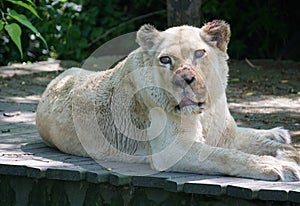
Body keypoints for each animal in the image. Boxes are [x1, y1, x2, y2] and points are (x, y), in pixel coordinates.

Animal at [36, 19, 300, 180]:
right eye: (165, 60)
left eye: (199, 53)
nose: (185, 80)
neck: (205, 113)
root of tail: (56, 79)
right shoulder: (173, 150)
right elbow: (225, 155)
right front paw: (276, 165)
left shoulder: (227, 135)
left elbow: (265, 145)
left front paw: (285, 151)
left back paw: (278, 133)